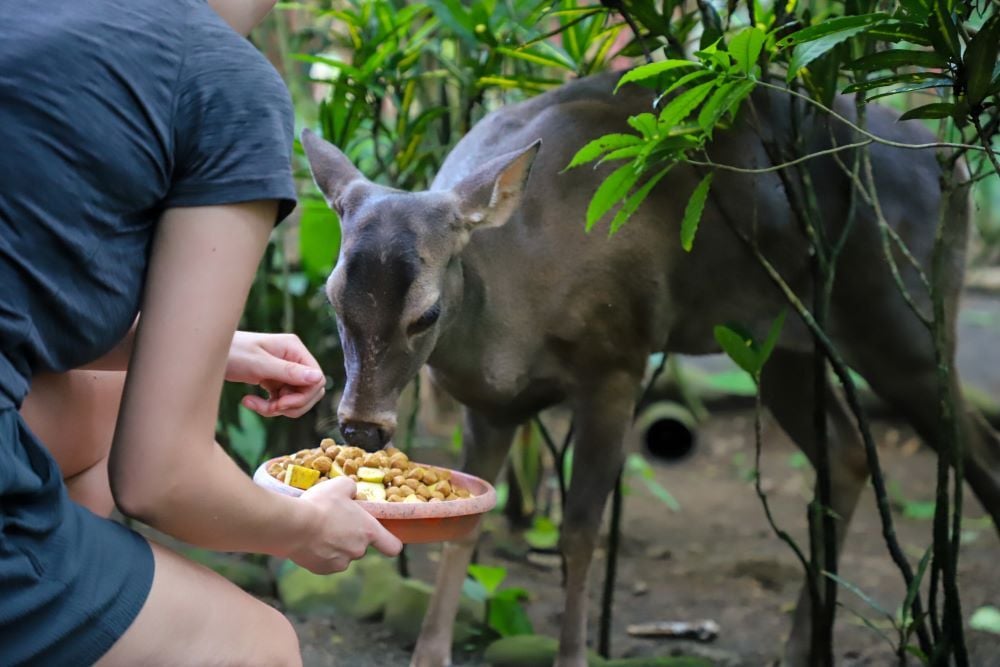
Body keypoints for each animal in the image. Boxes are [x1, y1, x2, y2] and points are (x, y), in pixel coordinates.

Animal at [300, 69, 1000, 667]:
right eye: (332, 296)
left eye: (427, 313)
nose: (360, 426)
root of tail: (952, 159)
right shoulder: (490, 407)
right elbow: (465, 528)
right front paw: (430, 653)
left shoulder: (620, 358)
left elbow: (580, 530)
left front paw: (574, 654)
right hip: (780, 345)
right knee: (849, 450)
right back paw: (802, 645)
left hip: (902, 315)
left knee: (974, 449)